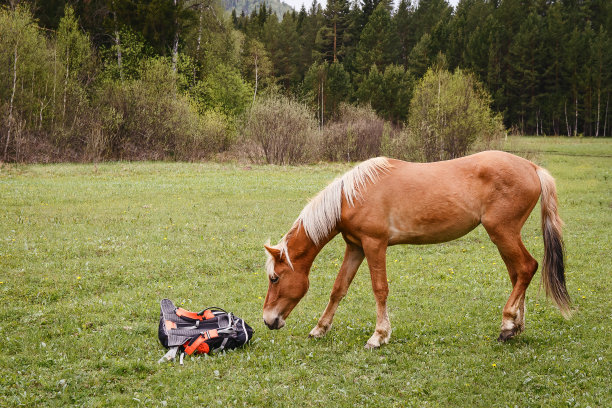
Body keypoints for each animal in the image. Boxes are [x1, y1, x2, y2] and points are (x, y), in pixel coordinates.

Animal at [262, 151, 568, 350]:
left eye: (275, 278)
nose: (268, 320)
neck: (352, 195)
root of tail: (532, 167)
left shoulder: (375, 245)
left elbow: (380, 289)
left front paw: (379, 336)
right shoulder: (356, 247)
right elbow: (339, 288)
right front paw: (320, 329)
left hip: (503, 233)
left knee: (526, 268)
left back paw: (507, 325)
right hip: (504, 236)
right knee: (518, 274)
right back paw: (516, 326)